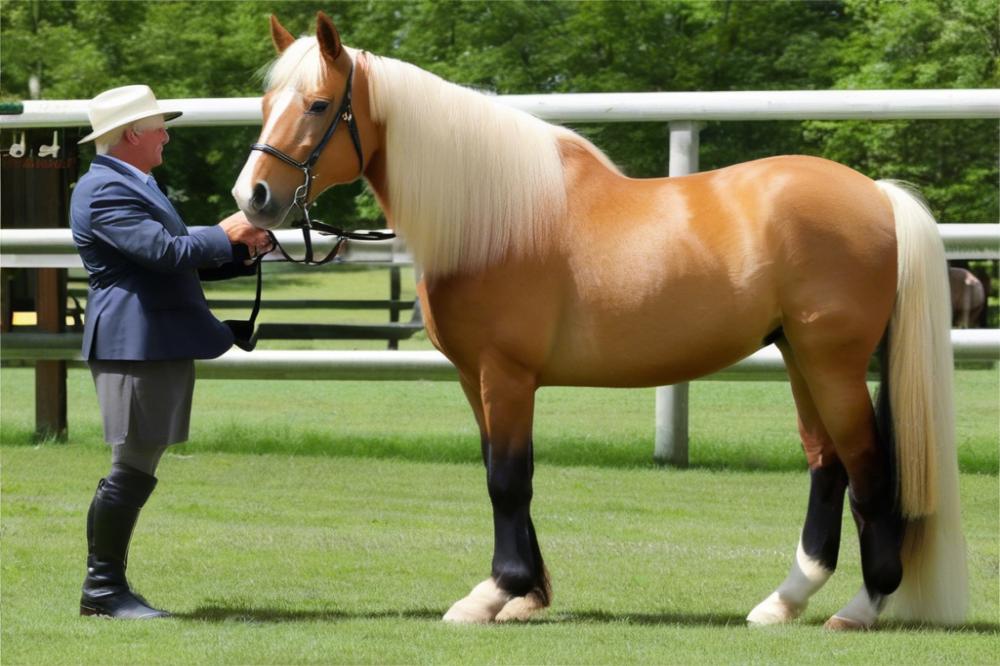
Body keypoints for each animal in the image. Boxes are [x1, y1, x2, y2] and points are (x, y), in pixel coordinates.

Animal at [230, 13, 964, 632]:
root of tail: (877, 196)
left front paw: (492, 594)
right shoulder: (476, 379)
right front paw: (524, 596)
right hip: (799, 357)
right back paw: (783, 602)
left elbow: (508, 478)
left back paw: (862, 606)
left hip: (830, 361)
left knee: (868, 468)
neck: (494, 219)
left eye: (318, 105)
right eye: (267, 105)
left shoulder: (505, 374)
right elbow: (501, 473)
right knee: (827, 464)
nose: (252, 198)